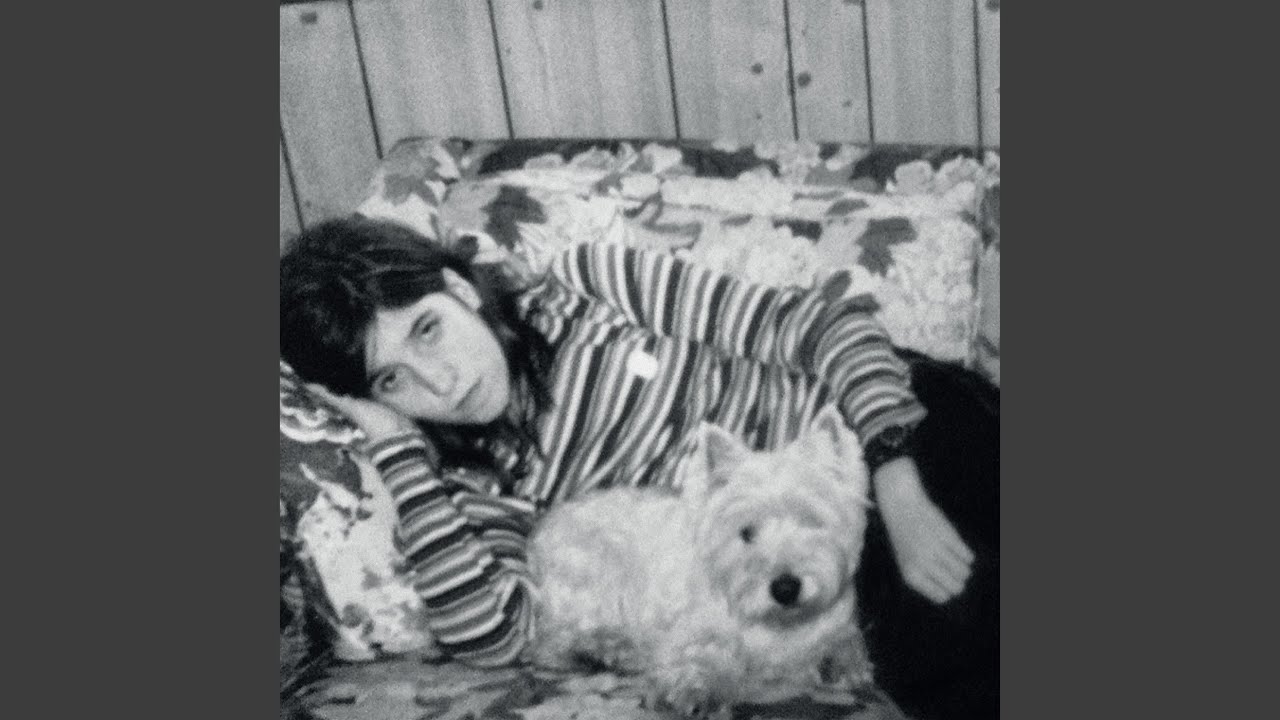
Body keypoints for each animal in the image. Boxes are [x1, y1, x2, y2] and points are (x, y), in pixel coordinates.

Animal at [526, 405, 875, 717]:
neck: (779, 624)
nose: (785, 588)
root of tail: (539, 534)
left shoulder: (840, 622)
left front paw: (842, 664)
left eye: (810, 522)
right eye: (746, 532)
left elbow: (846, 641)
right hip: (601, 568)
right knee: (554, 640)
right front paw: (695, 690)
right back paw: (609, 651)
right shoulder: (695, 630)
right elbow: (701, 655)